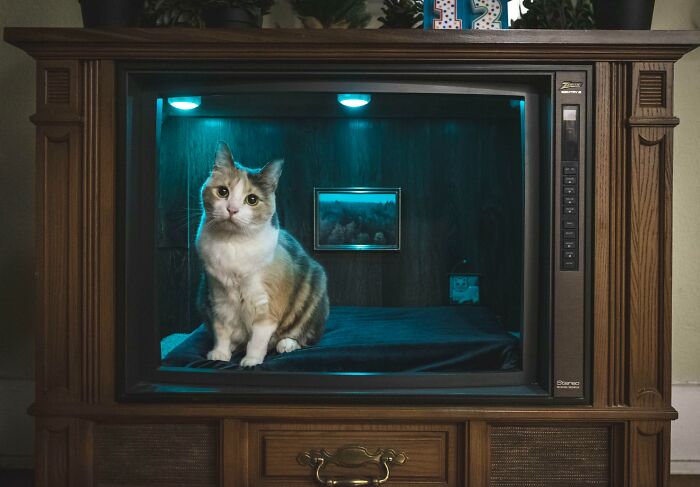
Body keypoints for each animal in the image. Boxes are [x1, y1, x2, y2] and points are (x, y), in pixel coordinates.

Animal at [196, 141, 330, 366]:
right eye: (223, 192)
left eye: (252, 199)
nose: (232, 209)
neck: (233, 243)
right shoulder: (218, 297)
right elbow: (222, 329)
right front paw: (220, 354)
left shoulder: (265, 303)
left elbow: (258, 338)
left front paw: (251, 360)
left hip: (313, 289)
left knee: (303, 336)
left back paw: (286, 345)